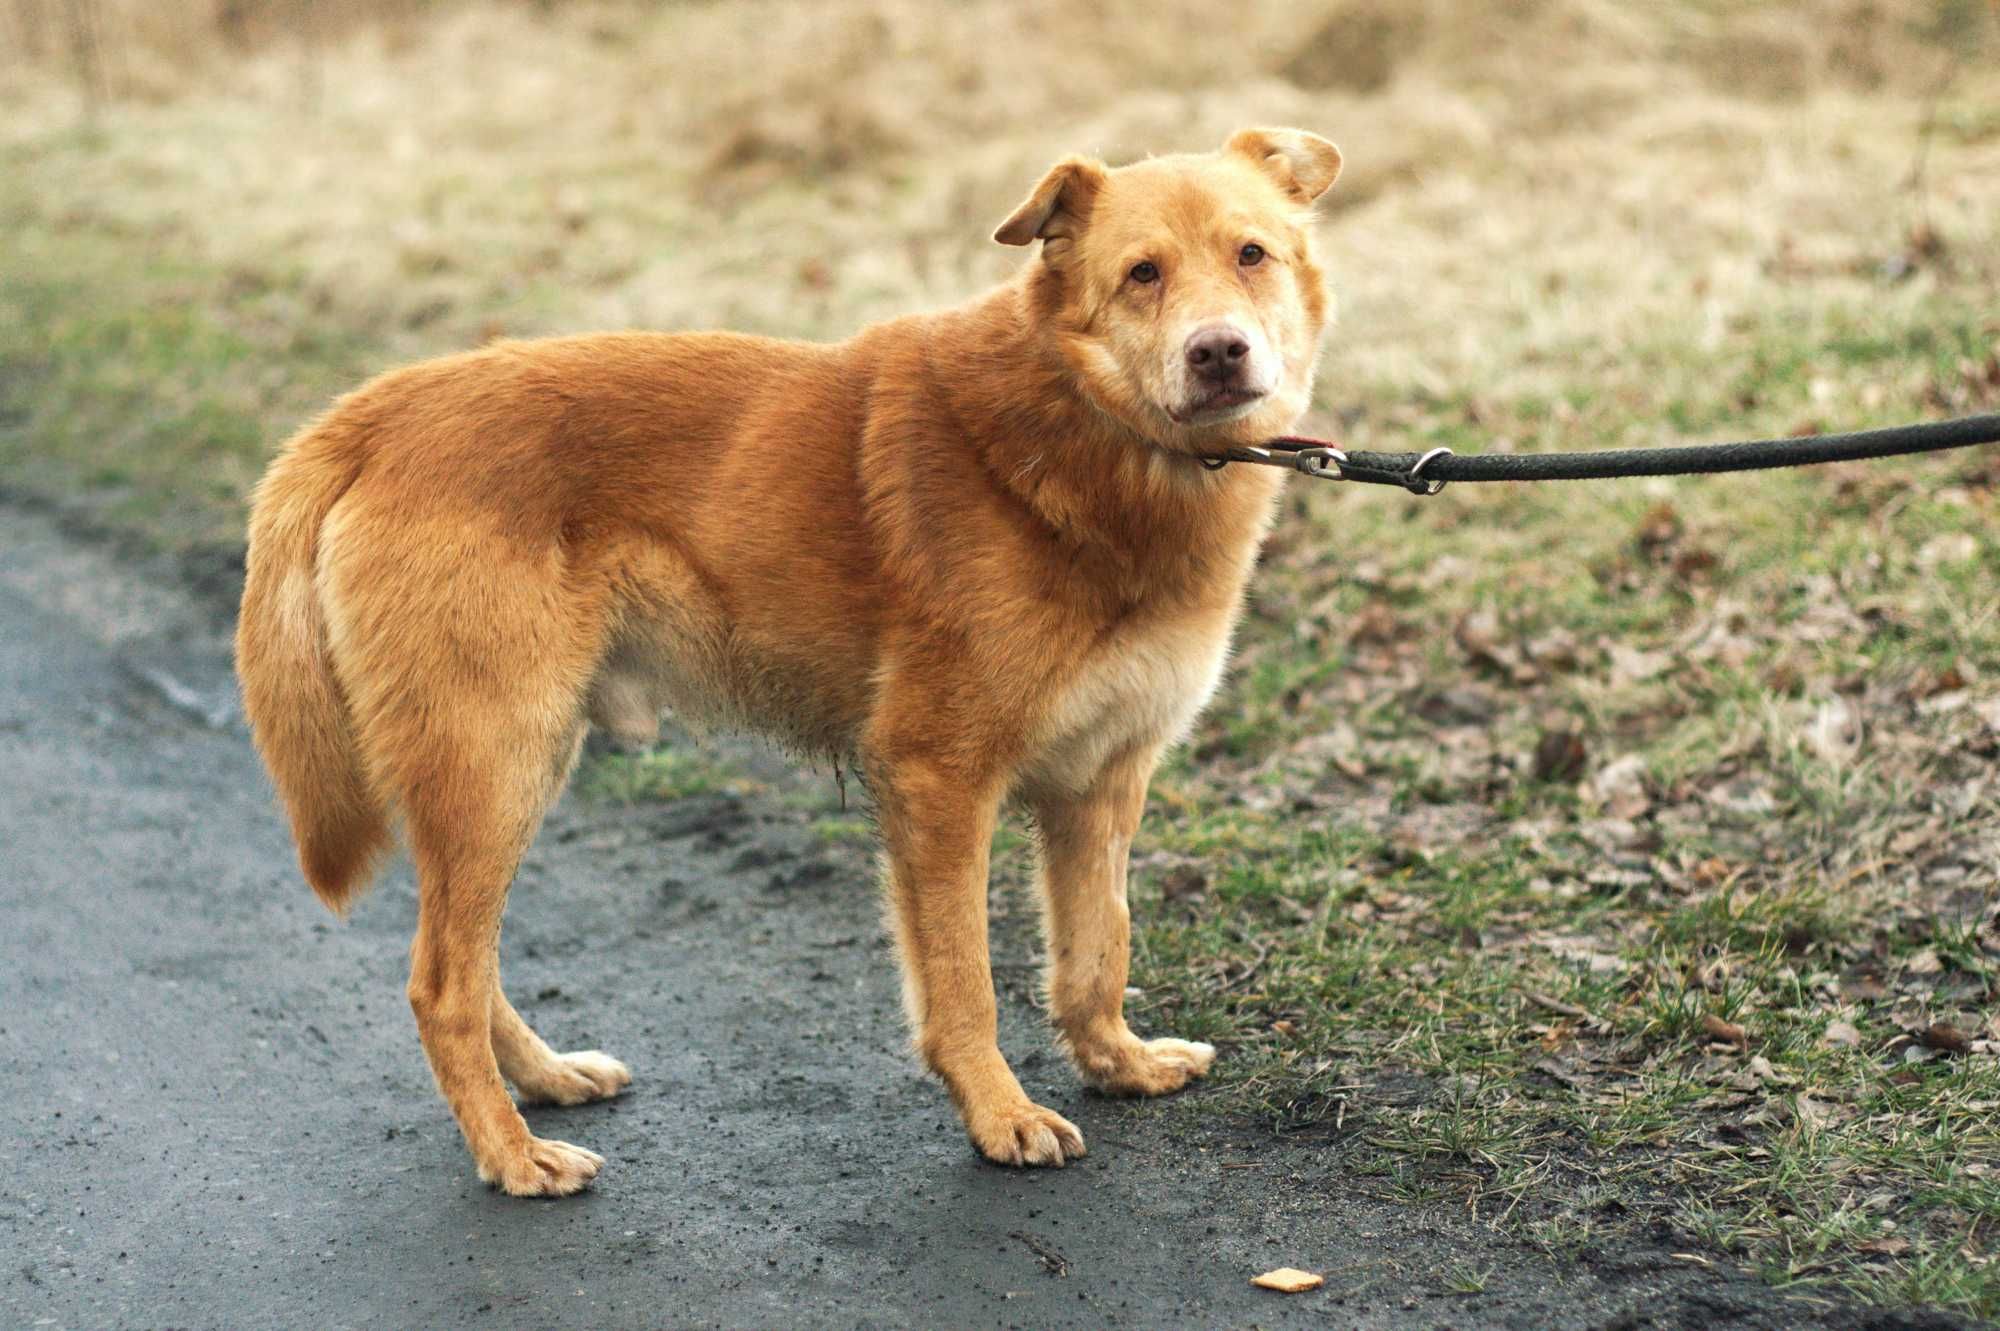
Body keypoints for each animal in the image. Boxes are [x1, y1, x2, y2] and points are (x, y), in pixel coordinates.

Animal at [238, 129, 1344, 1191]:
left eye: (1250, 254)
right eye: (1141, 274)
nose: (1219, 352)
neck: (1094, 436)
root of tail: (374, 411)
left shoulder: (1101, 784)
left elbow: (1095, 954)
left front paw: (1117, 1063)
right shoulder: (937, 778)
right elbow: (965, 983)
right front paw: (998, 1115)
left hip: (518, 767)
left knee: (470, 965)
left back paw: (545, 1080)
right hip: (493, 765)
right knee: (441, 985)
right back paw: (513, 1155)